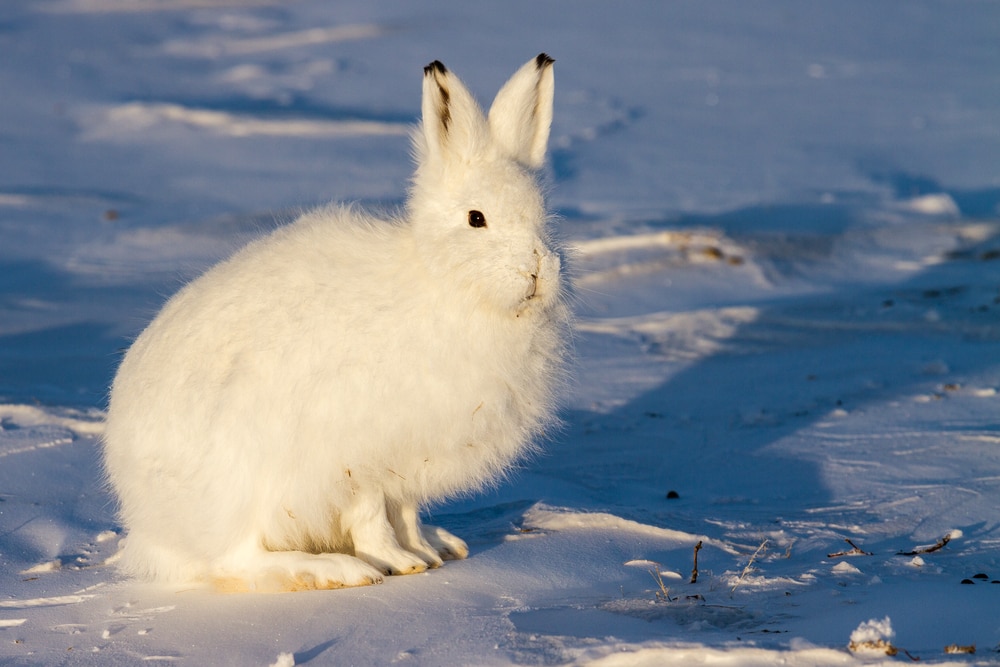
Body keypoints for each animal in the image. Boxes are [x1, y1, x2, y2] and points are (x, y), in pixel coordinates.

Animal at [102, 54, 570, 592]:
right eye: (477, 219)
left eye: (542, 217)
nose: (536, 271)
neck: (443, 285)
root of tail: (150, 530)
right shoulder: (357, 457)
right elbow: (371, 516)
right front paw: (398, 562)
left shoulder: (405, 466)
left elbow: (405, 512)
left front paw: (426, 551)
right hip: (247, 474)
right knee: (236, 559)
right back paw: (335, 568)